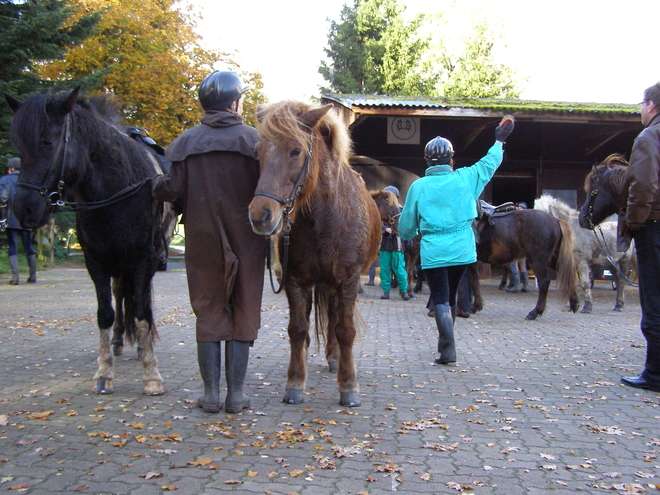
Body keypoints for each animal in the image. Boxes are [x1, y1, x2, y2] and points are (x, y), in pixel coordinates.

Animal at [5, 89, 170, 398]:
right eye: (18, 145)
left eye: (47, 142)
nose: (24, 209)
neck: (116, 190)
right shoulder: (96, 262)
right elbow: (105, 313)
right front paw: (104, 374)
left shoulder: (144, 261)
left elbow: (142, 312)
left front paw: (152, 376)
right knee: (120, 294)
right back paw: (118, 341)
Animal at [249, 101, 382, 406]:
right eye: (258, 151)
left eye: (295, 151)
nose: (260, 215)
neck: (324, 217)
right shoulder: (296, 280)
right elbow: (298, 330)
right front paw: (295, 383)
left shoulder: (348, 281)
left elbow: (346, 330)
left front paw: (349, 386)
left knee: (335, 319)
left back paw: (335, 359)